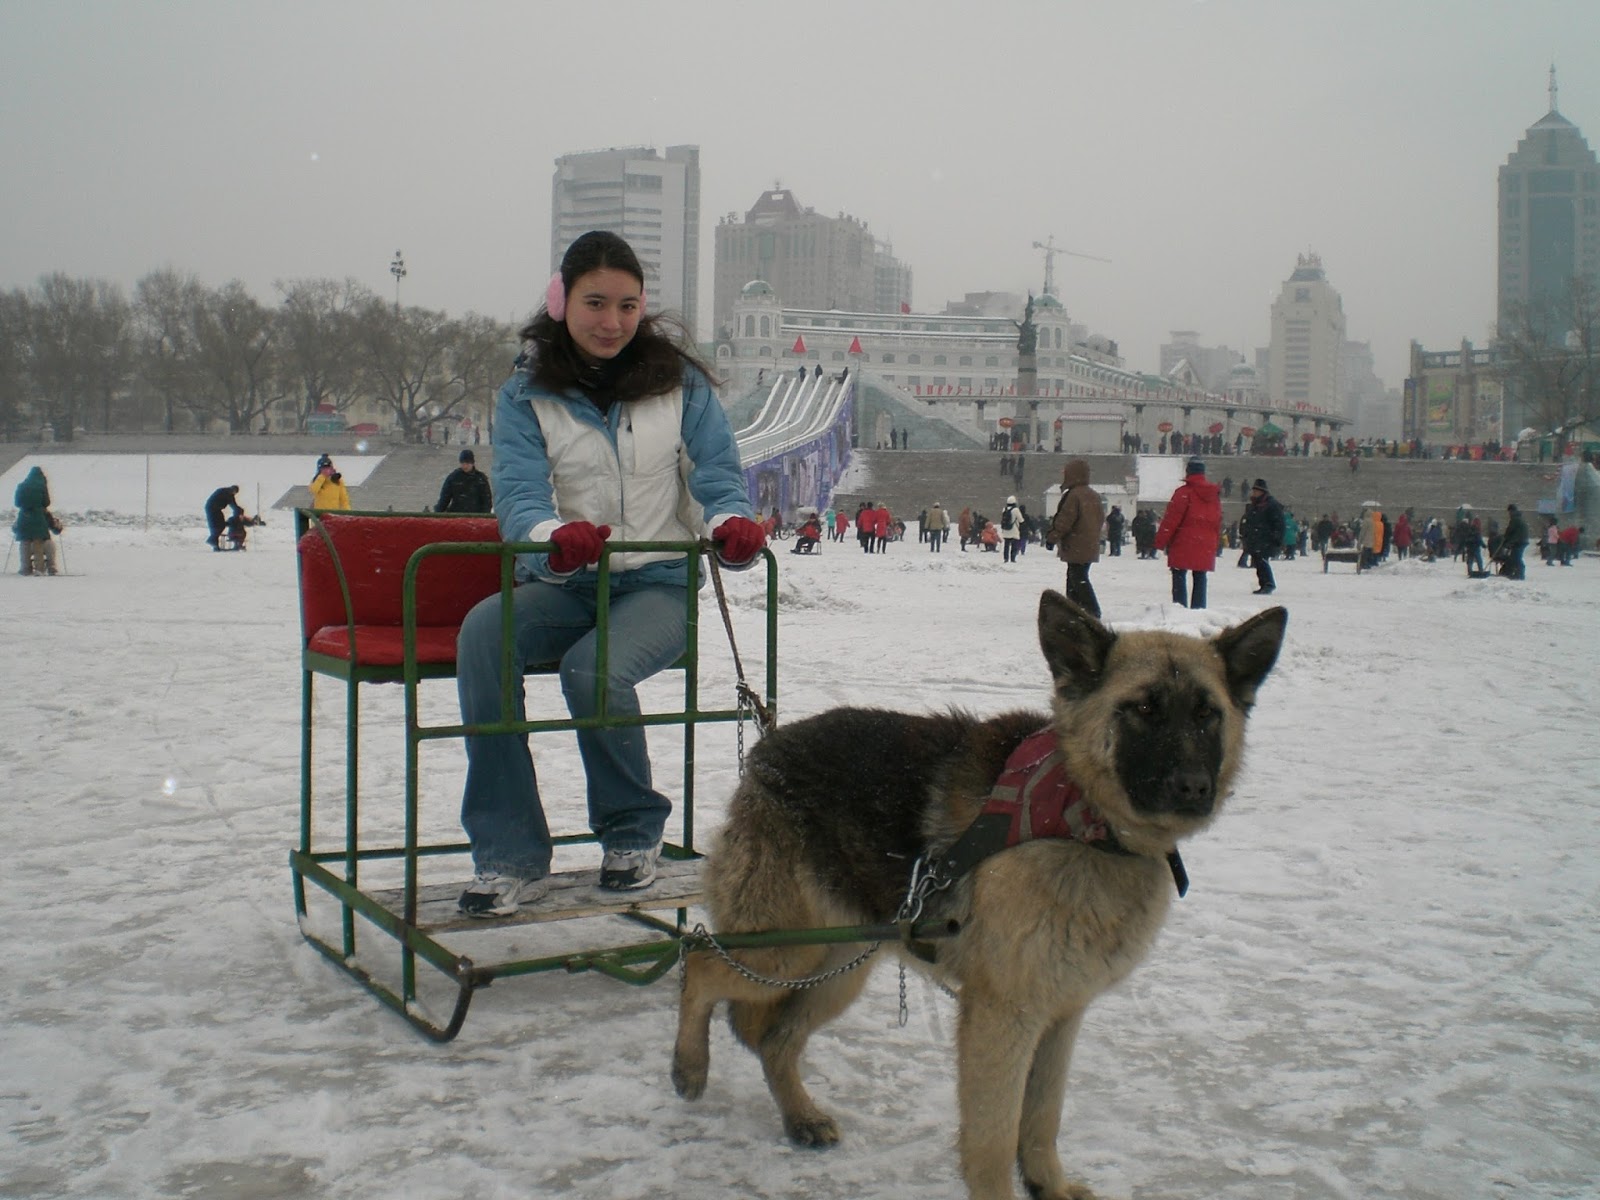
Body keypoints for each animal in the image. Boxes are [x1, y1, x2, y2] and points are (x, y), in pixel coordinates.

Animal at [672, 595, 1286, 1200]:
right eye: (1143, 710)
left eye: (1207, 714)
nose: (1194, 788)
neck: (1080, 818)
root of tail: (769, 746)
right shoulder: (1003, 1017)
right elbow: (994, 1140)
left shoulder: (1062, 1015)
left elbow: (1042, 1118)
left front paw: (1048, 1185)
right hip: (784, 950)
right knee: (701, 960)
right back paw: (690, 1066)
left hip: (838, 967)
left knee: (774, 1038)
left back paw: (800, 1116)